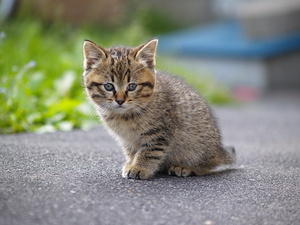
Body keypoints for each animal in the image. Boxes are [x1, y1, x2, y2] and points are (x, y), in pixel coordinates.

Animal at [83, 38, 236, 179]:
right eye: (108, 86)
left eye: (132, 86)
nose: (120, 100)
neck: (124, 116)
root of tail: (218, 150)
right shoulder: (127, 139)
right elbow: (131, 151)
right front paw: (131, 163)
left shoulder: (159, 133)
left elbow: (149, 152)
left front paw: (139, 167)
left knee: (206, 166)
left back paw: (184, 167)